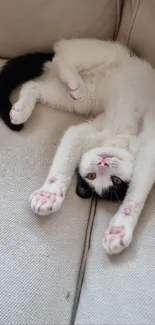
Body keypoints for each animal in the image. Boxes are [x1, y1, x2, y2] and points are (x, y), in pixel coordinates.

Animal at [1, 39, 155, 254]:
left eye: (114, 180)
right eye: (91, 175)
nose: (102, 163)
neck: (117, 139)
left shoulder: (146, 152)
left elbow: (136, 193)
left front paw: (119, 229)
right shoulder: (87, 134)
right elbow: (62, 166)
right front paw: (48, 195)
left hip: (77, 100)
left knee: (34, 86)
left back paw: (21, 110)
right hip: (104, 54)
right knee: (65, 53)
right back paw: (73, 80)